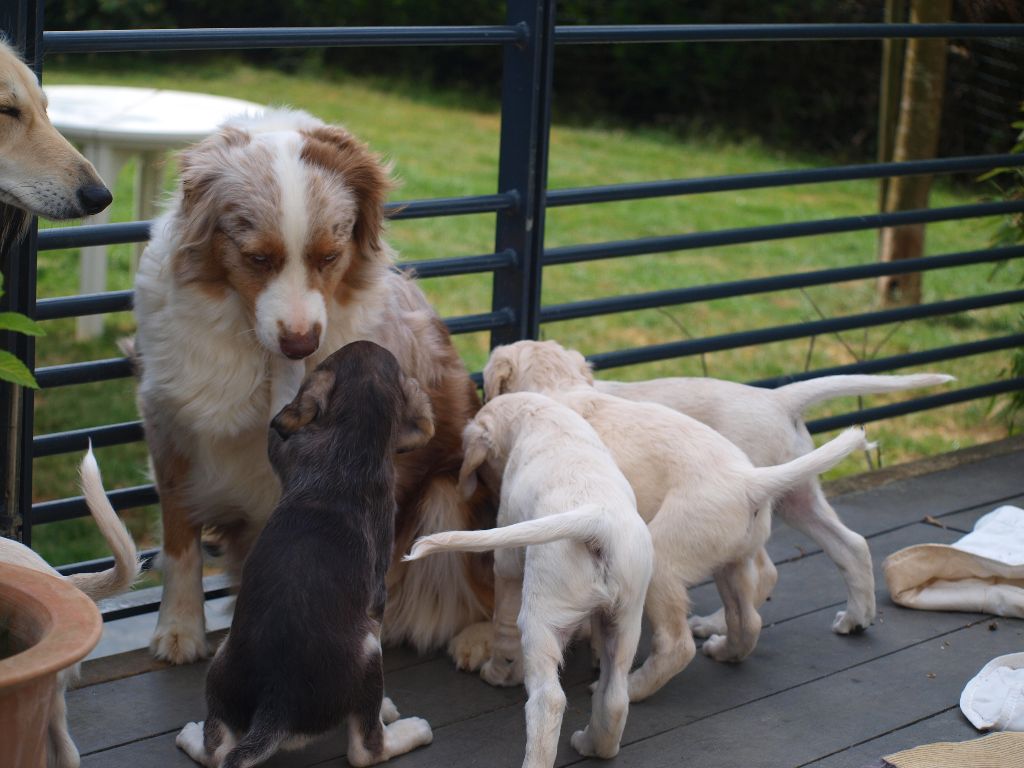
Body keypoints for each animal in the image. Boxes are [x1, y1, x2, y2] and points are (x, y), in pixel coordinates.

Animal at [176, 342, 432, 768]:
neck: (353, 442)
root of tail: (275, 706)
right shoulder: (377, 602)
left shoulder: (284, 447)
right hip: (367, 654)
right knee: (366, 749)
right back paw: (412, 730)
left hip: (221, 665)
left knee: (217, 747)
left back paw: (190, 735)